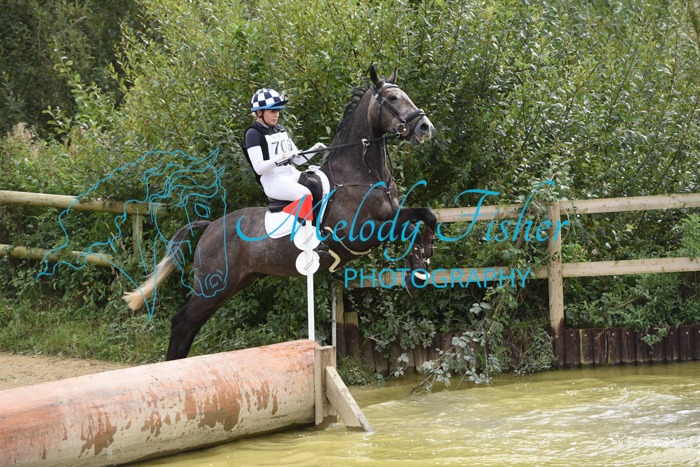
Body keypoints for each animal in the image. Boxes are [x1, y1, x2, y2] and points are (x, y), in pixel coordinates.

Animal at [124, 66, 437, 360]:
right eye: (393, 98)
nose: (425, 127)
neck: (361, 173)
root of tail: (210, 227)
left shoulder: (394, 213)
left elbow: (426, 215)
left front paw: (422, 263)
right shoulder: (360, 234)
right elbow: (409, 228)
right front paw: (415, 272)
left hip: (232, 284)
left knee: (191, 323)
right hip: (215, 283)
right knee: (182, 321)